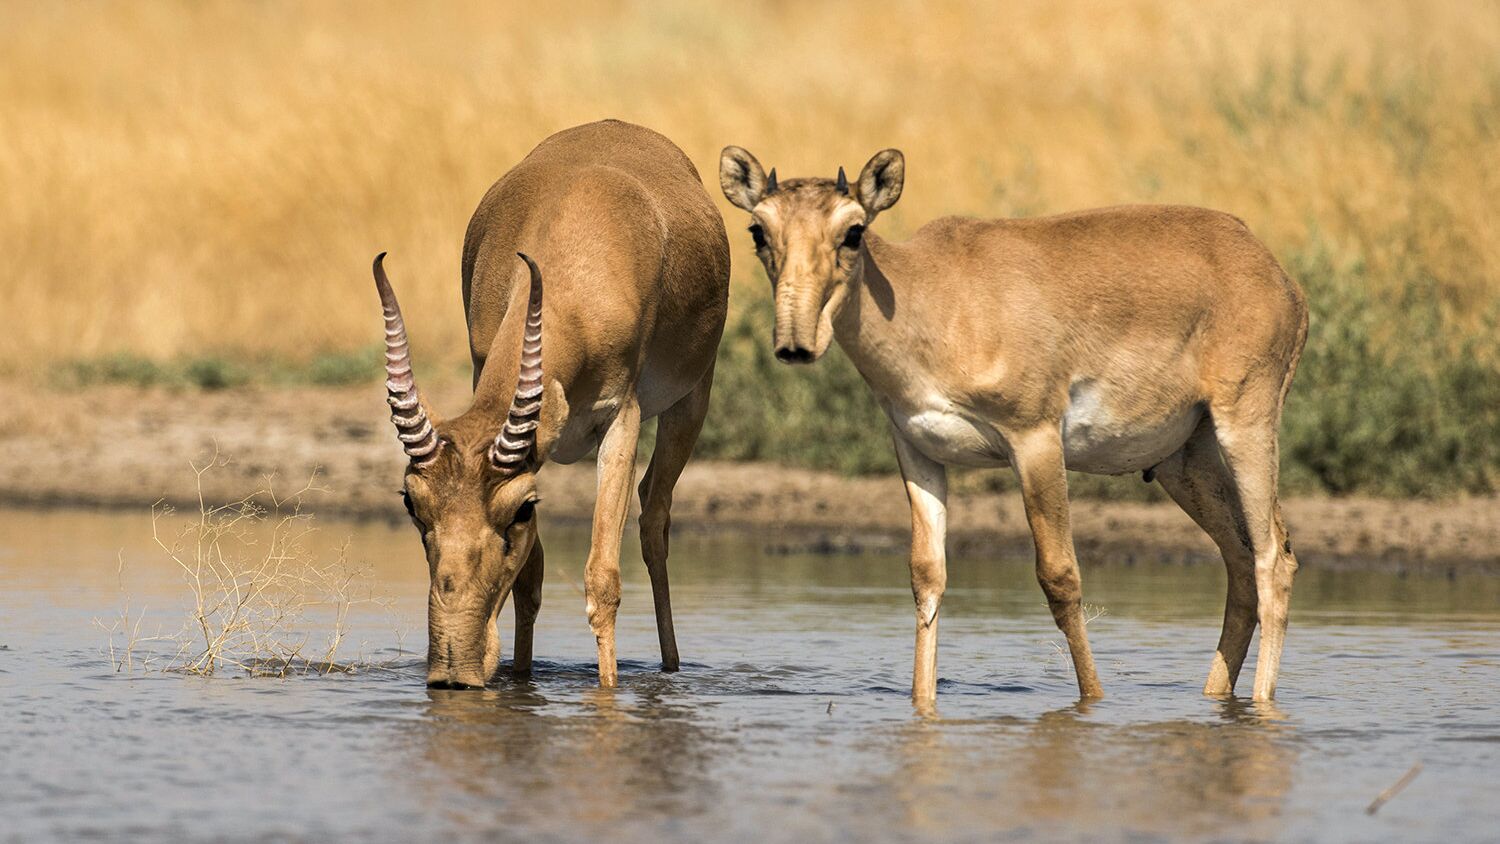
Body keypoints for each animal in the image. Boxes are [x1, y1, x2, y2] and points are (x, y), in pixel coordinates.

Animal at [373, 119, 726, 689]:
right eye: (412, 503)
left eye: (521, 510)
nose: (454, 672)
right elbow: (530, 581)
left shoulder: (621, 420)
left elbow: (602, 579)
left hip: (691, 402)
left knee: (655, 517)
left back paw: (671, 666)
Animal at [720, 146, 1308, 707]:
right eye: (758, 230)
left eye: (853, 230)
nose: (795, 344)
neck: (933, 296)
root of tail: (1278, 277)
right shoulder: (918, 451)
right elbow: (927, 577)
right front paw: (922, 701)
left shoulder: (1035, 441)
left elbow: (1060, 576)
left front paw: (1093, 700)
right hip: (1183, 461)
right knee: (1241, 560)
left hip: (1246, 427)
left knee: (1273, 560)